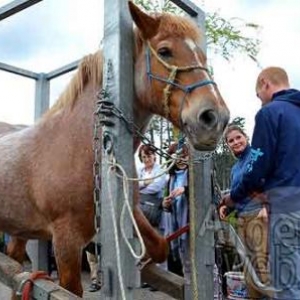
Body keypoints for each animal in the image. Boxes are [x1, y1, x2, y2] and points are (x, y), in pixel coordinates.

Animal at [0, 1, 230, 296]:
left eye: (201, 56)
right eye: (164, 51)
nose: (214, 118)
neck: (76, 145)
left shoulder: (130, 212)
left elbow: (160, 247)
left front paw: (142, 263)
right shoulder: (66, 241)